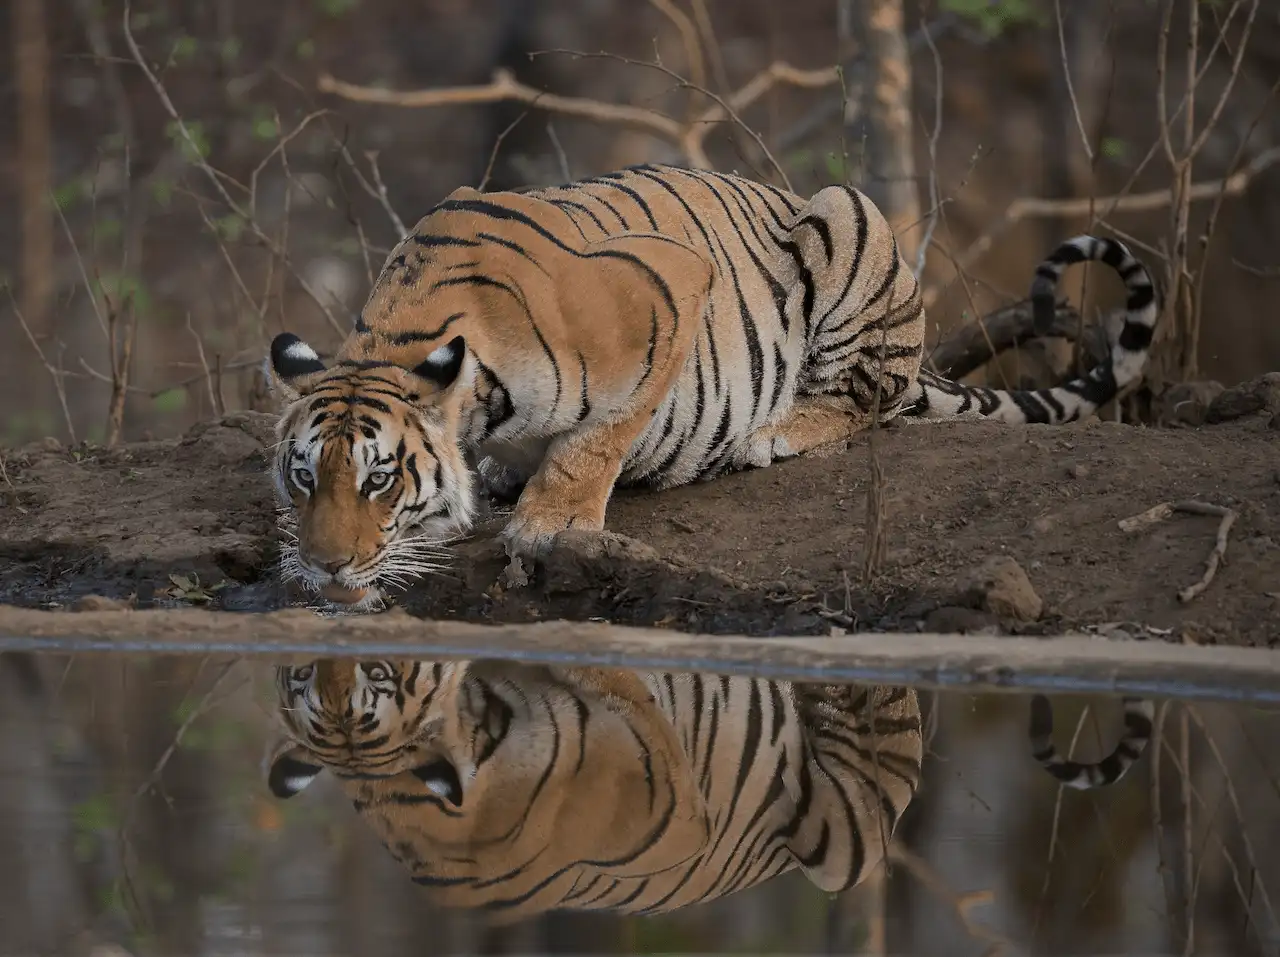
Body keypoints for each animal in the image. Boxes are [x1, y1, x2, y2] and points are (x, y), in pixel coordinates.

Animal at [263, 163, 1160, 604]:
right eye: (304, 477)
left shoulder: (667, 286)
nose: (325, 567)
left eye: (380, 479)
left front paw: (550, 520)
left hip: (847, 217)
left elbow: (599, 437)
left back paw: (775, 431)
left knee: (869, 397)